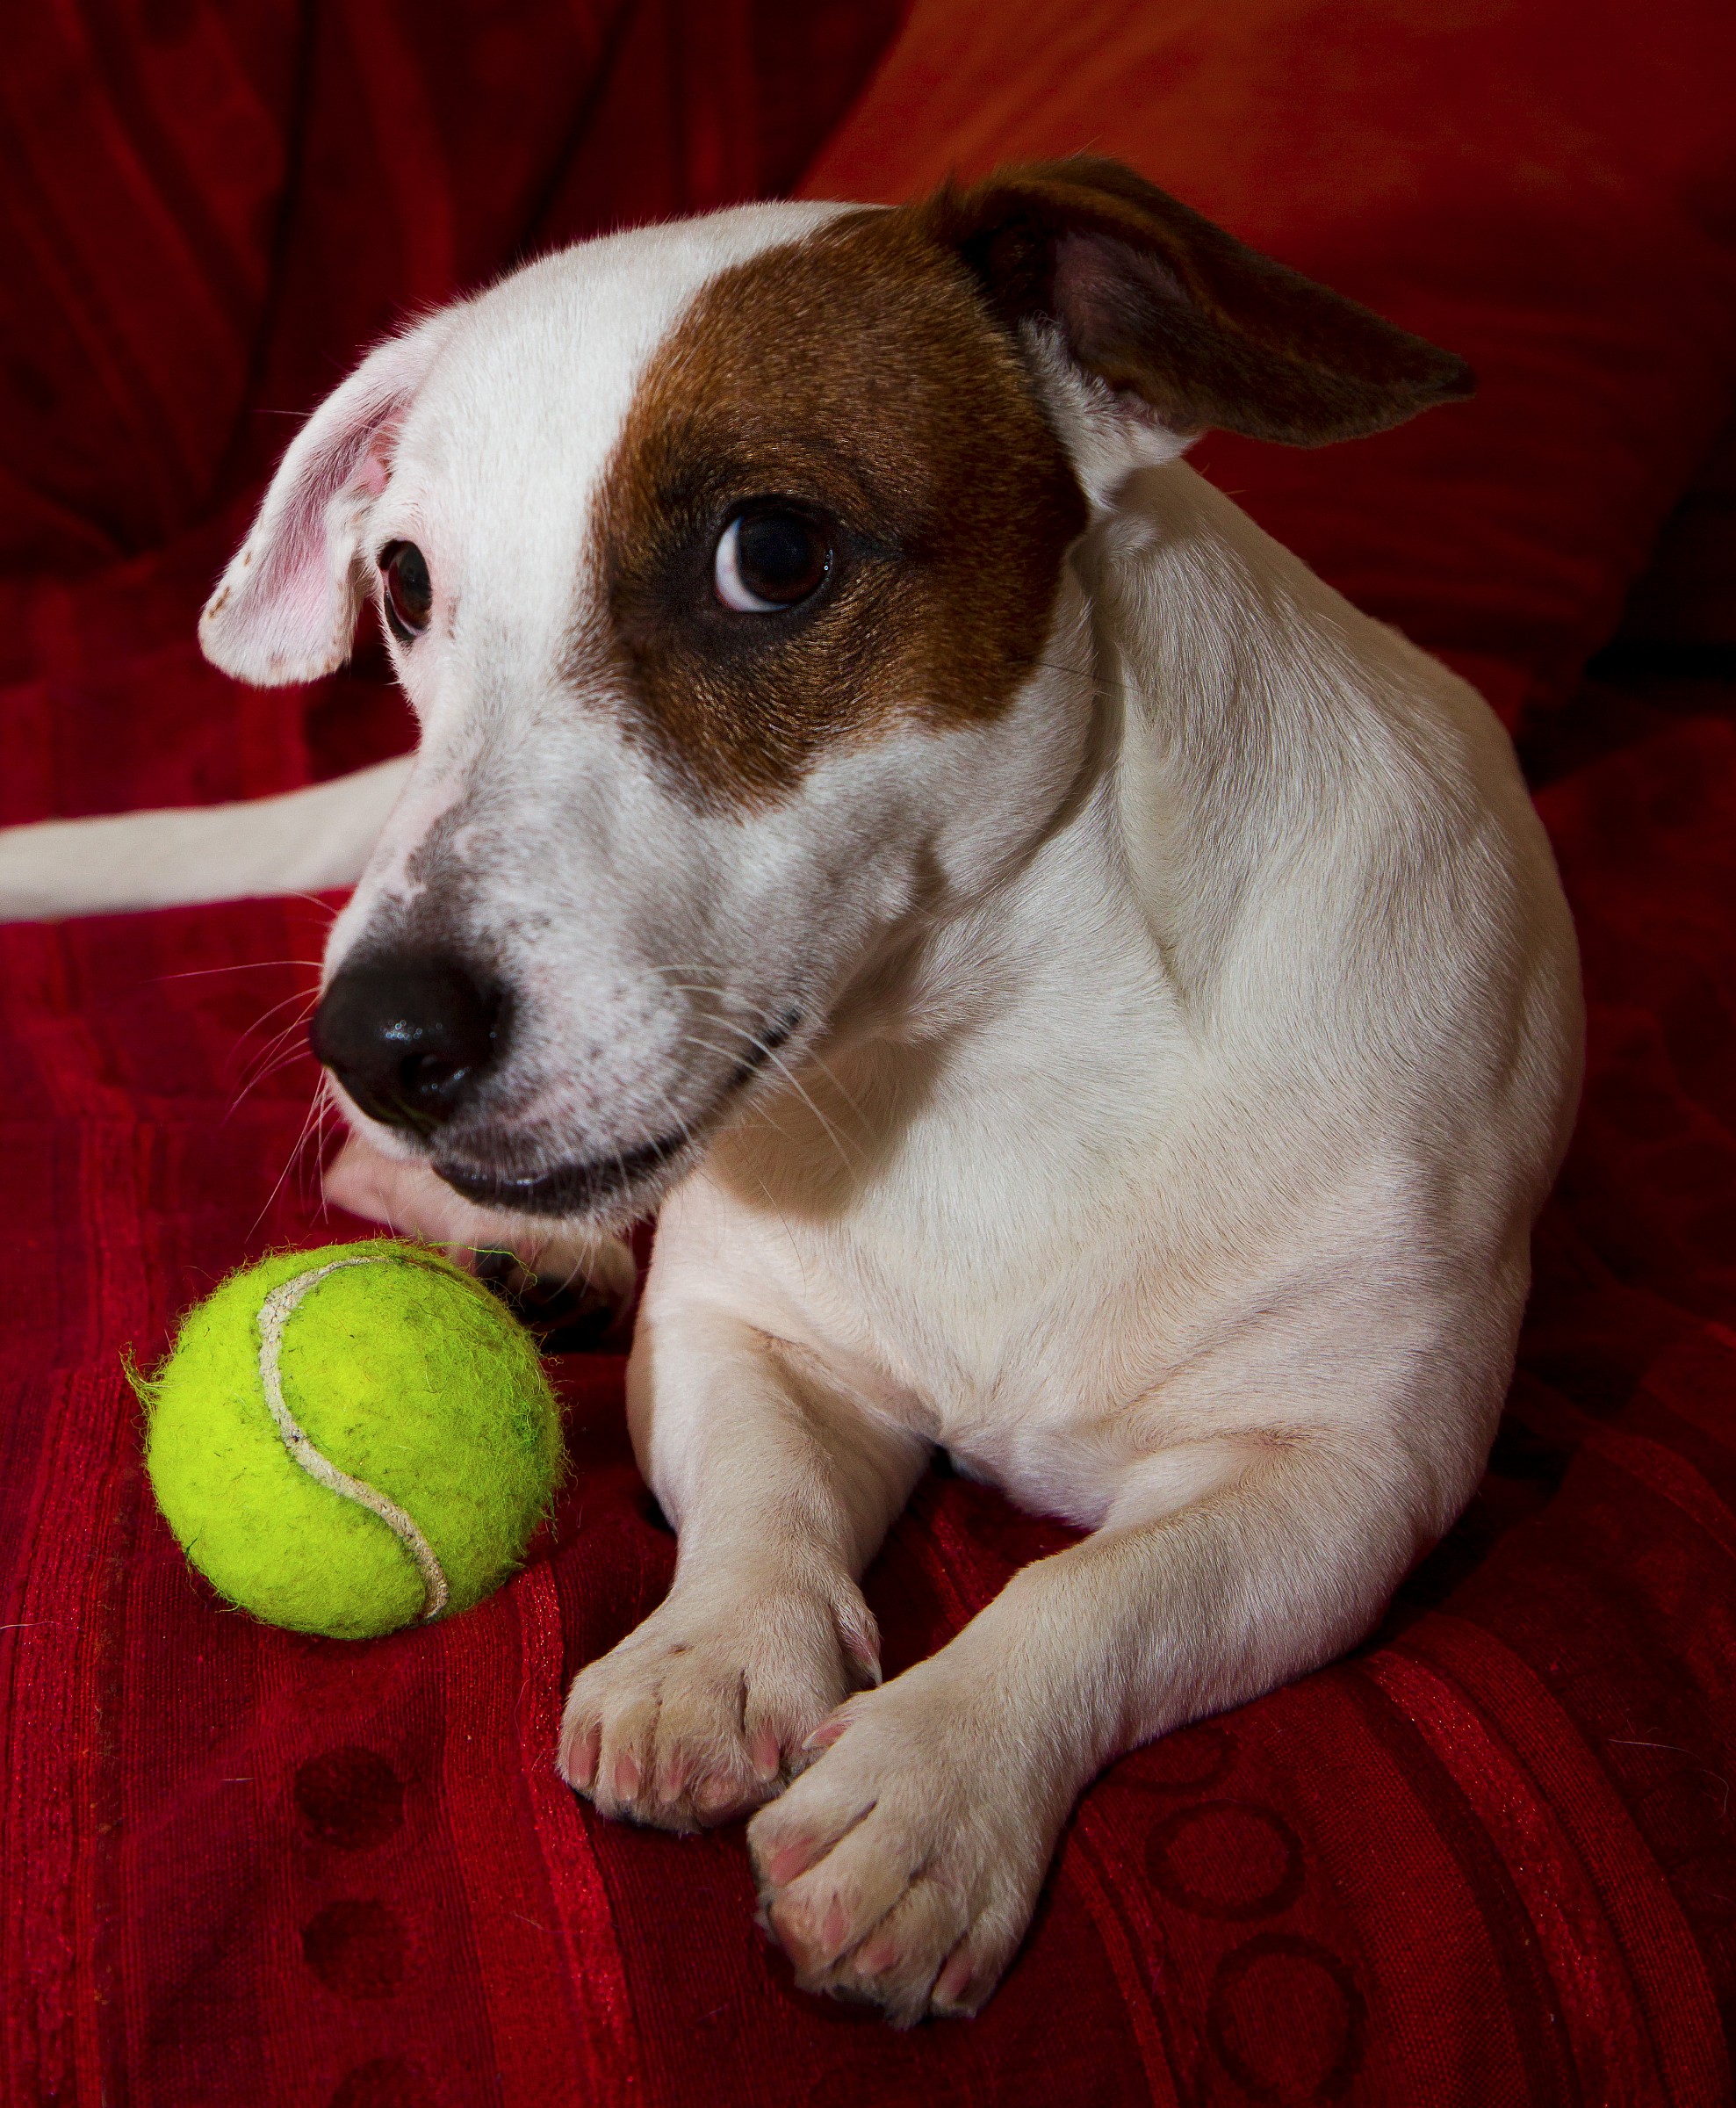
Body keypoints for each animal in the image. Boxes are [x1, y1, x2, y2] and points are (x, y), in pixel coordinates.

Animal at [0, 155, 1575, 2015]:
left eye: (772, 554)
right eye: (406, 584)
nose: (374, 1038)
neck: (992, 1060)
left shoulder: (1335, 1480)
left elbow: (1092, 1598)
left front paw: (934, 1782)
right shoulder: (748, 1334)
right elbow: (758, 1505)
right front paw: (714, 1655)